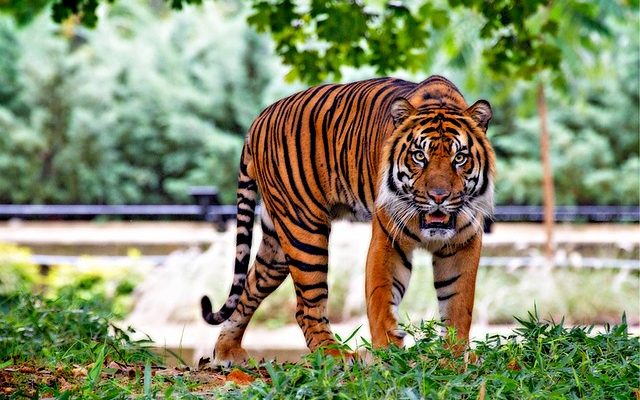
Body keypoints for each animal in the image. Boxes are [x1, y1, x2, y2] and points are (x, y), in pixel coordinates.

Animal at [200, 73, 496, 364]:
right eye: (419, 156)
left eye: (460, 158)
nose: (439, 196)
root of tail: (259, 118)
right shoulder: (388, 240)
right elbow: (381, 299)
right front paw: (389, 356)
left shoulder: (463, 243)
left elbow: (458, 304)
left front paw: (453, 358)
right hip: (304, 231)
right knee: (306, 307)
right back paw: (335, 355)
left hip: (277, 245)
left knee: (250, 287)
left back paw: (227, 351)